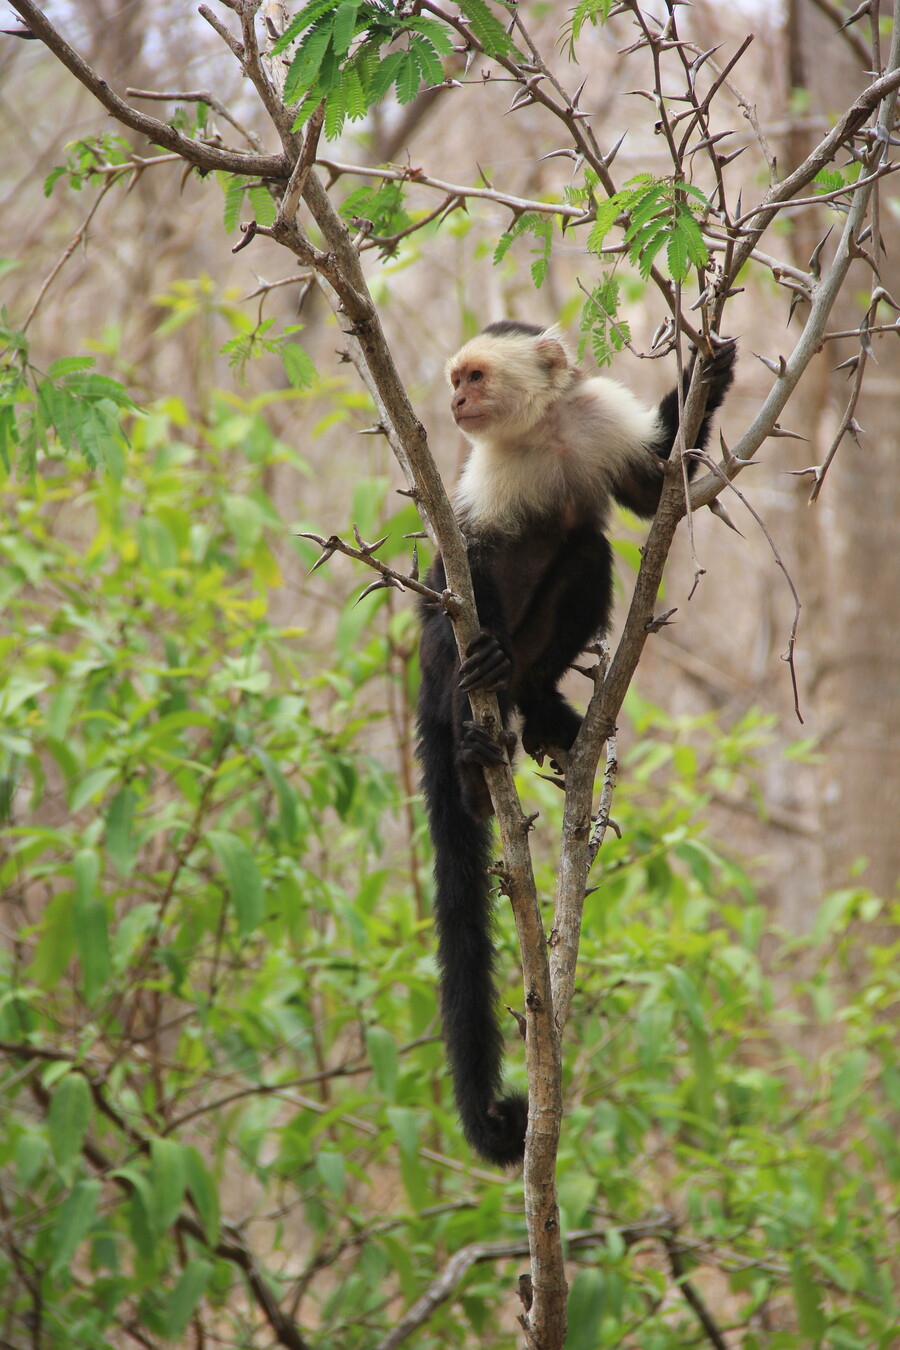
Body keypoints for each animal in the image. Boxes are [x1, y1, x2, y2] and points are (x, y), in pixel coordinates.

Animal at [416, 320, 736, 1166]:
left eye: (474, 376)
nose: (453, 401)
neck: (542, 432)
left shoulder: (598, 421)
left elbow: (651, 494)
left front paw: (710, 373)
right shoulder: (484, 471)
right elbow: (469, 563)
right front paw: (480, 643)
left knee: (588, 552)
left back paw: (540, 708)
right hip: (437, 672)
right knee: (450, 636)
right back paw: (474, 748)